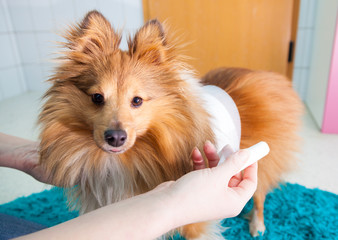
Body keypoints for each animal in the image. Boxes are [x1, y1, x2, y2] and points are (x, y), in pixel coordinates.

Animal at [38, 10, 302, 239]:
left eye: (137, 100)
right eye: (97, 97)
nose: (115, 137)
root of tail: (260, 75)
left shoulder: (196, 222)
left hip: (262, 161)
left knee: (259, 196)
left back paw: (257, 225)